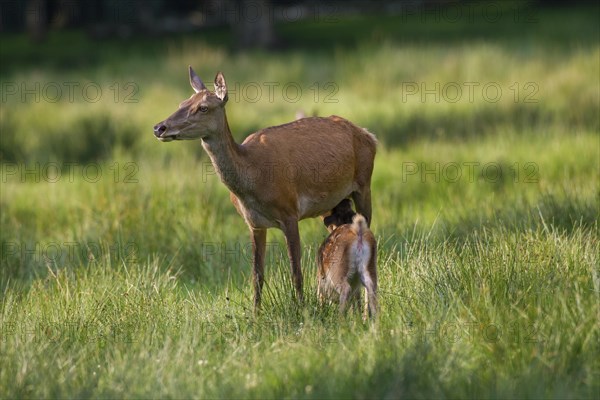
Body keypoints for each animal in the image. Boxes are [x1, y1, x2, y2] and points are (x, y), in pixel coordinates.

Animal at [155, 68, 378, 312]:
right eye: (182, 102)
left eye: (203, 107)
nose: (160, 127)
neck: (253, 179)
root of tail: (369, 135)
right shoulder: (254, 223)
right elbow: (257, 275)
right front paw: (255, 313)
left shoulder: (290, 212)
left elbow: (296, 271)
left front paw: (301, 309)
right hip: (333, 204)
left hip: (364, 184)